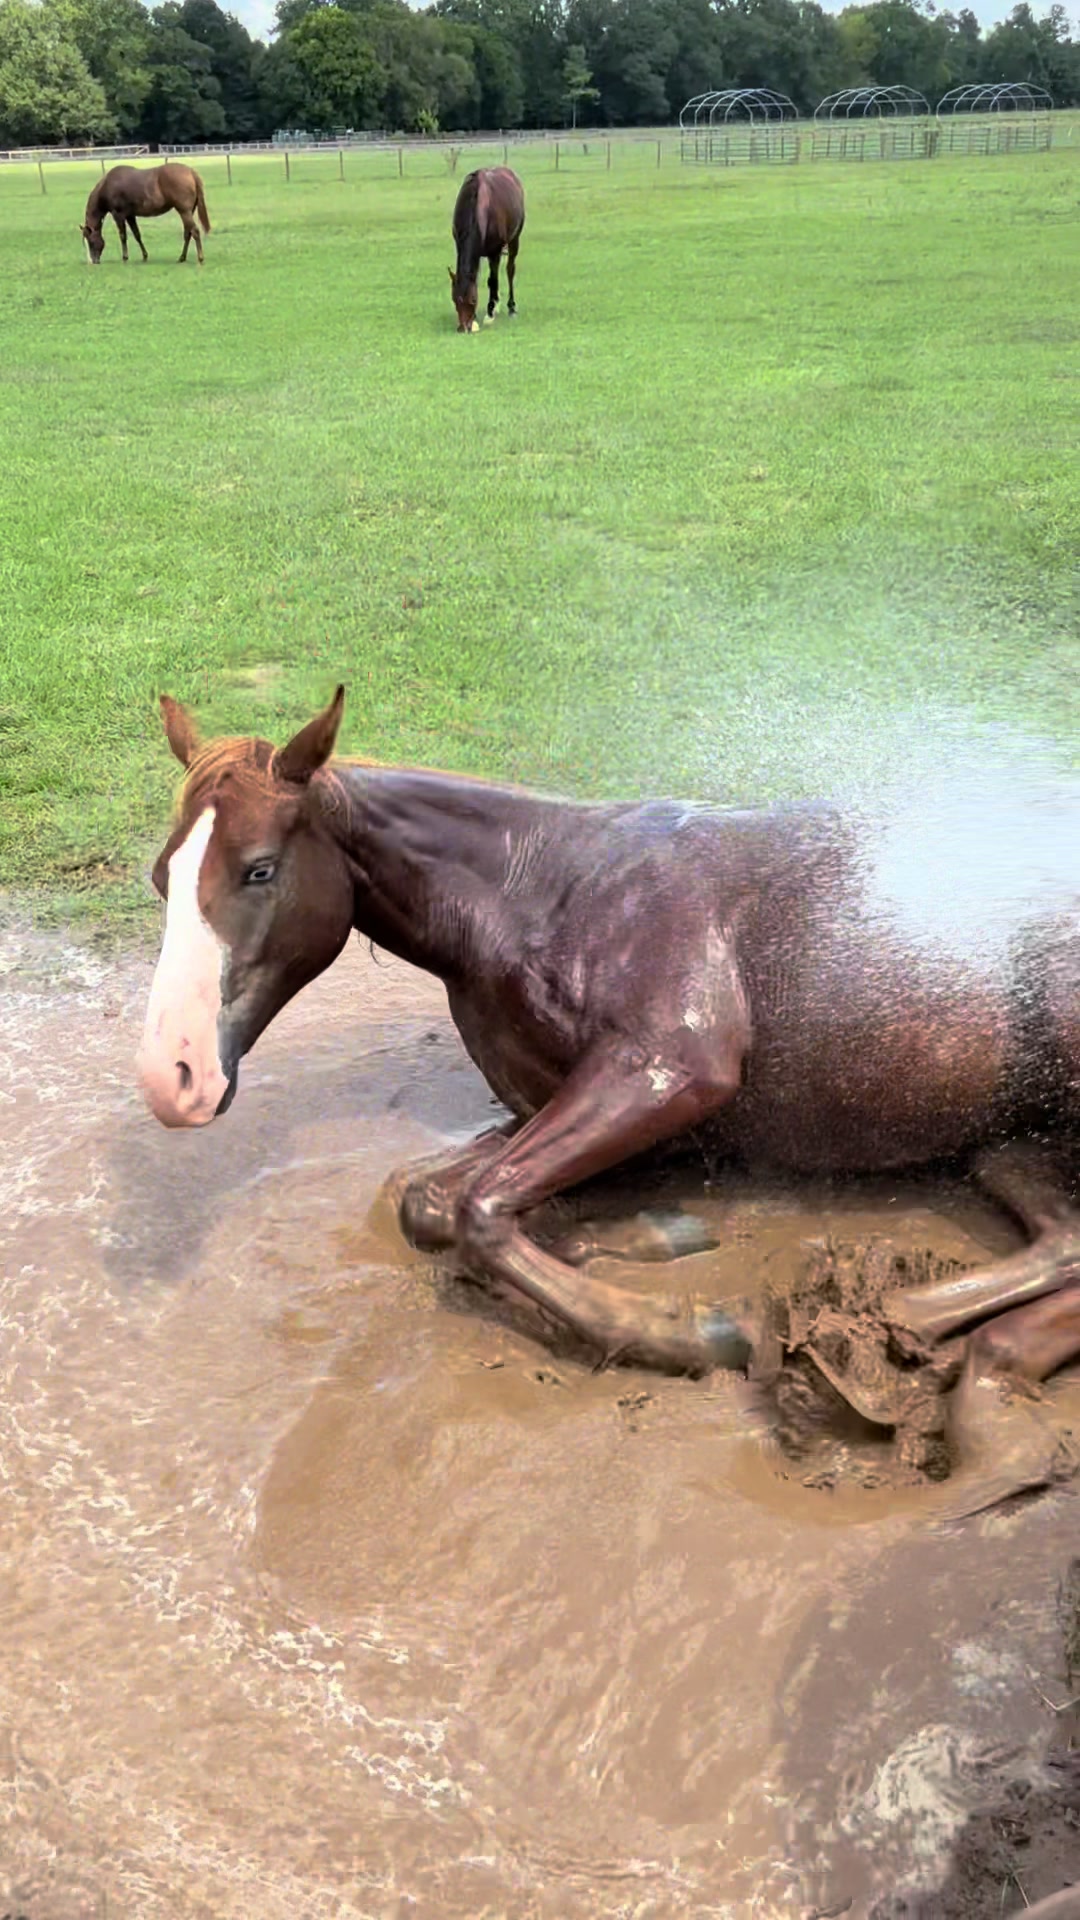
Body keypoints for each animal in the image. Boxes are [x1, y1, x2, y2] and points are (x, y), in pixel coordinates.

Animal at [80, 164, 211, 267]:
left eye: (90, 241)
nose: (94, 261)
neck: (107, 186)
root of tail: (190, 172)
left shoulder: (118, 215)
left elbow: (123, 236)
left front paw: (125, 258)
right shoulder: (130, 216)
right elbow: (137, 235)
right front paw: (144, 256)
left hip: (184, 211)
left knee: (195, 231)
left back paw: (200, 258)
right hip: (188, 212)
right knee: (188, 233)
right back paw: (182, 258)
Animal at [134, 684, 1080, 1450]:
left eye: (259, 870)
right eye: (159, 878)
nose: (172, 1079)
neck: (538, 892)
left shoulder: (670, 1069)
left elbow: (480, 1209)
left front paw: (695, 1330)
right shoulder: (556, 1106)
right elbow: (430, 1200)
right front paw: (653, 1234)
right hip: (1000, 1144)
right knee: (1061, 1239)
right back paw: (890, 1327)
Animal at [449, 167, 524, 332]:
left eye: (473, 299)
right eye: (454, 299)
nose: (463, 328)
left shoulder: (494, 252)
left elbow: (493, 280)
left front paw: (489, 313)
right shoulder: (460, 245)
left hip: (514, 239)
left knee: (509, 270)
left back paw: (510, 308)